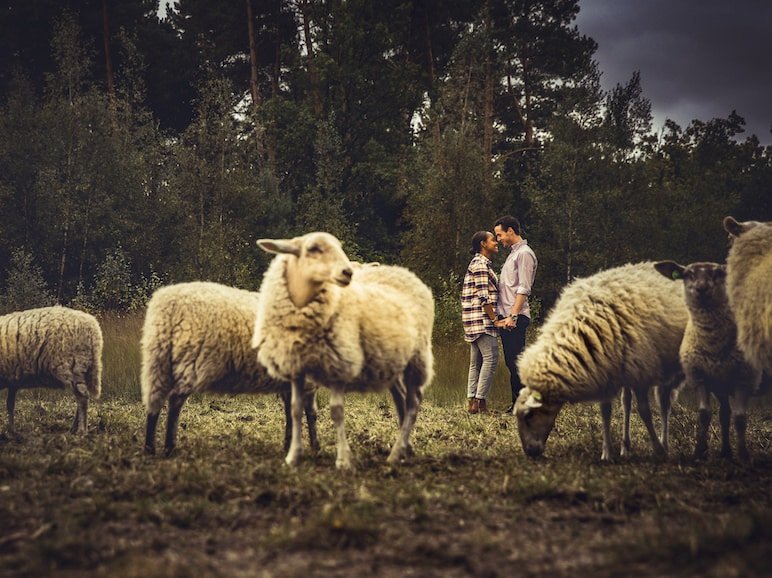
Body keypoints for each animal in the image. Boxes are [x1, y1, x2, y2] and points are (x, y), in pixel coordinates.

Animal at [140, 282, 318, 456]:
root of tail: (167, 304)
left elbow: (290, 412)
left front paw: (289, 445)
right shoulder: (307, 380)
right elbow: (310, 413)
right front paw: (315, 447)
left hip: (159, 359)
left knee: (154, 402)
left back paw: (150, 448)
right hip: (190, 360)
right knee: (174, 402)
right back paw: (169, 447)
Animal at [252, 231, 434, 468]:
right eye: (313, 248)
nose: (347, 272)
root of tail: (403, 272)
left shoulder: (339, 363)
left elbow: (336, 412)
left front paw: (343, 460)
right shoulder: (297, 368)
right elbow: (295, 409)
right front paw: (293, 456)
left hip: (417, 357)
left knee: (414, 401)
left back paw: (395, 454)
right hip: (391, 361)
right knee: (401, 398)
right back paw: (405, 448)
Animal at [512, 260, 688, 460]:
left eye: (529, 415)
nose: (530, 452)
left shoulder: (640, 369)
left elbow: (644, 411)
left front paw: (658, 449)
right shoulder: (605, 368)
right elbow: (605, 411)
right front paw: (607, 453)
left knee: (664, 402)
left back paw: (664, 445)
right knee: (628, 402)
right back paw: (626, 447)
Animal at [656, 258, 764, 462]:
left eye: (718, 273)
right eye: (688, 274)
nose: (702, 288)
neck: (713, 342)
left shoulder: (743, 379)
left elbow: (740, 418)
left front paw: (744, 455)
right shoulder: (700, 377)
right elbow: (704, 414)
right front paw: (699, 452)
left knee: (726, 414)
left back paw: (727, 452)